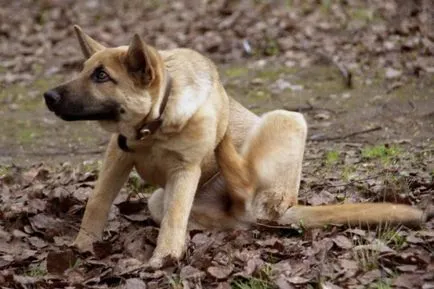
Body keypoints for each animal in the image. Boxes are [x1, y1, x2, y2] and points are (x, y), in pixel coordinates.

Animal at [42, 25, 428, 266]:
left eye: (101, 76)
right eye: (84, 71)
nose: (48, 97)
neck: (153, 126)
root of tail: (286, 209)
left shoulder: (185, 170)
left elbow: (173, 219)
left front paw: (162, 259)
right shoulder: (117, 158)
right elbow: (97, 203)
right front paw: (81, 247)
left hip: (288, 119)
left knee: (244, 187)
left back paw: (225, 142)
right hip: (162, 201)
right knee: (230, 221)